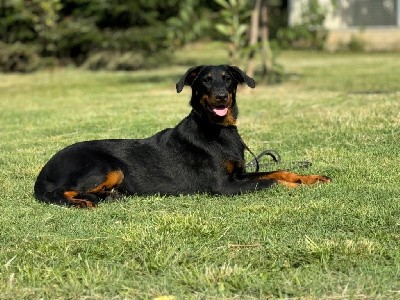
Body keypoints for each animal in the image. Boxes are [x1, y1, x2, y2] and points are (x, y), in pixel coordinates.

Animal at [33, 64, 332, 207]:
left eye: (228, 78)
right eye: (205, 80)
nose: (221, 96)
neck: (218, 130)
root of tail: (43, 171)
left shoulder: (240, 174)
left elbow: (279, 172)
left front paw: (311, 178)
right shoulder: (224, 187)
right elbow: (270, 182)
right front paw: (297, 187)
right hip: (107, 167)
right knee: (59, 192)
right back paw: (85, 202)